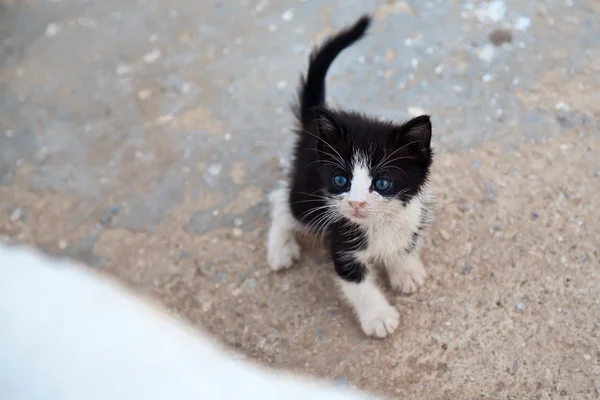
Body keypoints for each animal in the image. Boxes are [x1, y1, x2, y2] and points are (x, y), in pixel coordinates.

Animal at [266, 14, 432, 338]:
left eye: (382, 183)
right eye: (341, 181)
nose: (356, 204)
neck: (378, 225)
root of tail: (313, 126)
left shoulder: (412, 212)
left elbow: (405, 242)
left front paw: (405, 270)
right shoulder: (342, 243)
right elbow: (357, 284)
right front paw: (378, 317)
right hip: (308, 198)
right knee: (281, 200)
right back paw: (280, 249)